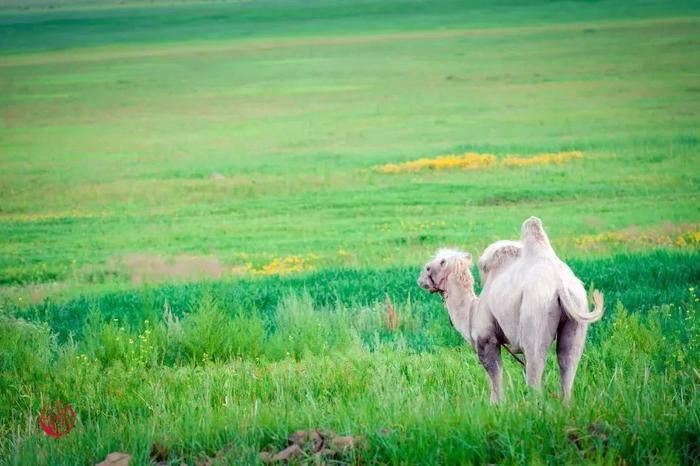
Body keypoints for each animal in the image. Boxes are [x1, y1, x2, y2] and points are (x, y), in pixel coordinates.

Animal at [418, 217, 604, 402]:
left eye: (429, 267)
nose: (420, 279)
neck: (472, 312)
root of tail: (560, 284)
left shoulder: (486, 338)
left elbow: (494, 374)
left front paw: (497, 405)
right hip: (578, 308)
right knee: (568, 359)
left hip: (535, 311)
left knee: (535, 364)